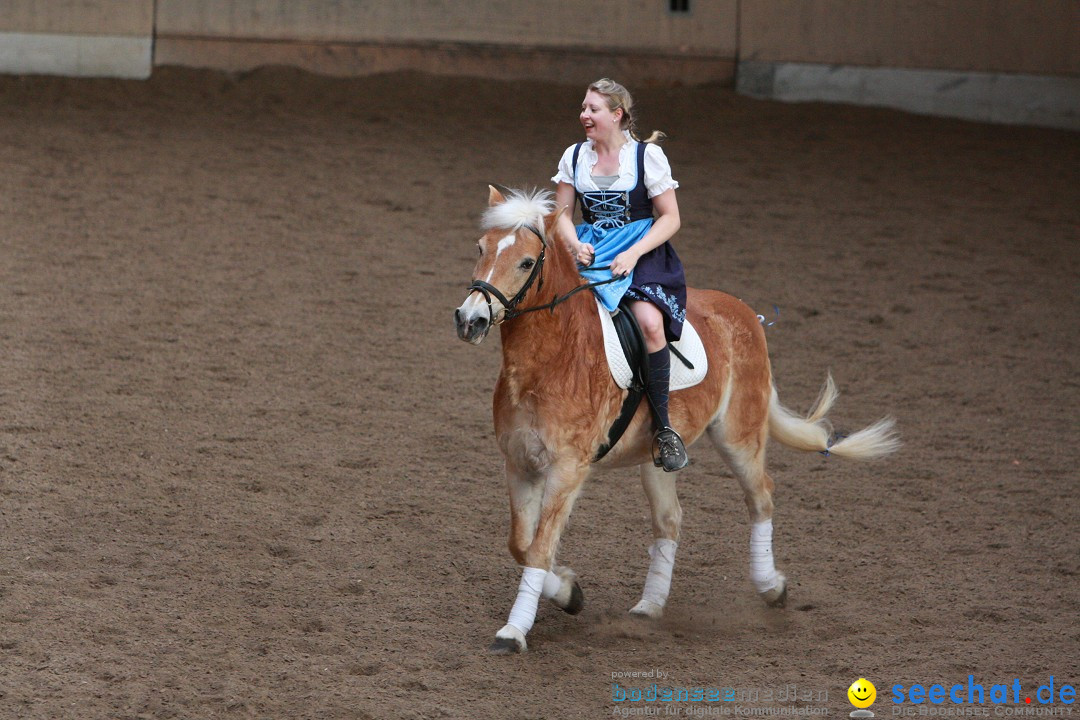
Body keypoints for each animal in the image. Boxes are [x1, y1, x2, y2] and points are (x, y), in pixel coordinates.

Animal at [451, 188, 898, 656]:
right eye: (480, 249)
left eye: (525, 262)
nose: (469, 320)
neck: (550, 360)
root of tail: (744, 312)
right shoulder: (519, 464)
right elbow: (520, 545)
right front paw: (570, 593)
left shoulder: (567, 469)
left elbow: (538, 549)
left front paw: (514, 631)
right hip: (657, 459)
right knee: (670, 519)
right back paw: (649, 607)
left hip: (738, 435)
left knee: (761, 497)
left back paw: (771, 587)